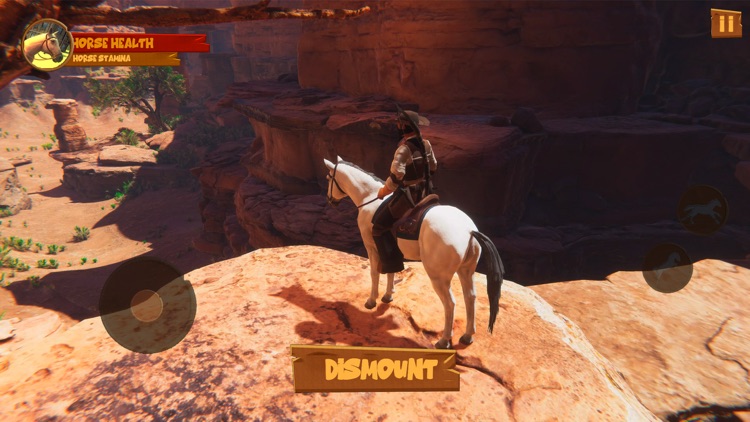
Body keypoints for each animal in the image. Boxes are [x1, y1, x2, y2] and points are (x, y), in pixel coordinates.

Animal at [324, 156, 505, 349]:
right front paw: (388, 295)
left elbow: (374, 273)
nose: (330, 200)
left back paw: (444, 340)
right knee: (470, 297)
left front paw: (372, 300)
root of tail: (469, 230)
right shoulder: (390, 250)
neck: (370, 197)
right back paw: (467, 336)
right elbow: (391, 271)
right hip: (466, 271)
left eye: (328, 178)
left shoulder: (371, 247)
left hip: (439, 278)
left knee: (450, 304)